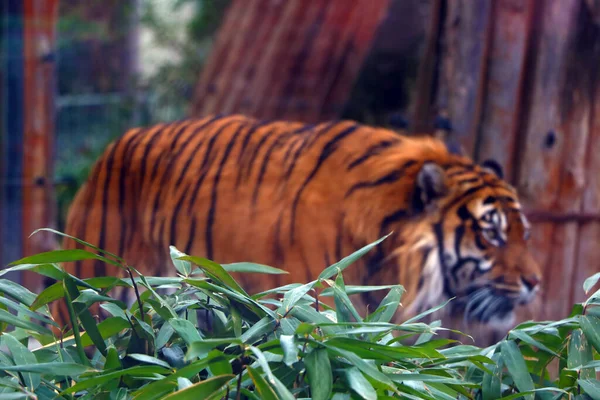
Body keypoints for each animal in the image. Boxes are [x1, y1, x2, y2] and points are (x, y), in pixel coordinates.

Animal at [52, 114, 540, 342]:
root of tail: (108, 151)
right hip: (91, 301)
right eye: (492, 234)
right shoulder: (310, 307)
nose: (536, 283)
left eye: (524, 233)